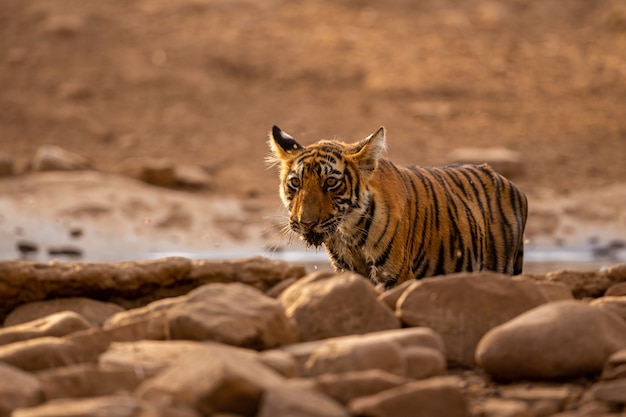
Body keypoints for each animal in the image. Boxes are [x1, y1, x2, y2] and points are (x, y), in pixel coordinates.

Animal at [266, 125, 528, 288]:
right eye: (296, 183)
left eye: (331, 182)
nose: (307, 223)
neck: (348, 234)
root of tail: (512, 184)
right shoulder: (346, 271)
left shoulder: (395, 274)